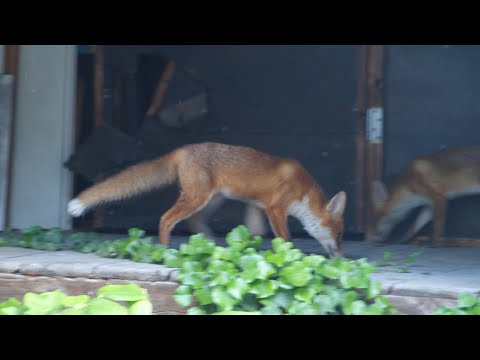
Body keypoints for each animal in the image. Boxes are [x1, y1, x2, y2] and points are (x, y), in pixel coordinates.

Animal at [66, 142, 344, 258]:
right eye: (339, 234)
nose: (340, 256)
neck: (302, 188)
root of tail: (182, 149)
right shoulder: (276, 208)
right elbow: (285, 238)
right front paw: (289, 256)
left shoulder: (257, 206)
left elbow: (256, 232)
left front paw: (252, 251)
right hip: (198, 198)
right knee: (166, 219)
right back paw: (165, 251)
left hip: (212, 201)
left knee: (194, 223)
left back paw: (209, 246)